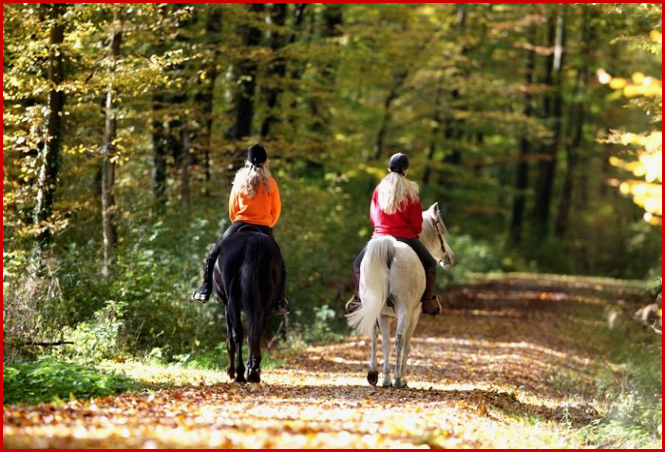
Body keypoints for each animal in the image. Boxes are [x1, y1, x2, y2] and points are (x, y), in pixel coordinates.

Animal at [211, 228, 284, 384]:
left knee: (238, 333)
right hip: (266, 300)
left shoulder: (226, 306)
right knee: (255, 329)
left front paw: (230, 371)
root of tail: (252, 241)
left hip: (232, 300)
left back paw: (239, 373)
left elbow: (230, 339)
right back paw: (253, 371)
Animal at [344, 202, 454, 388]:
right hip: (405, 308)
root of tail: (391, 246)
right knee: (399, 339)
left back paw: (375, 375)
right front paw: (402, 378)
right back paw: (396, 380)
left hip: (376, 309)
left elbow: (385, 343)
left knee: (377, 337)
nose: (450, 257)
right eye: (441, 231)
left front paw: (385, 377)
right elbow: (406, 344)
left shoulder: (385, 316)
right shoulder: (414, 314)